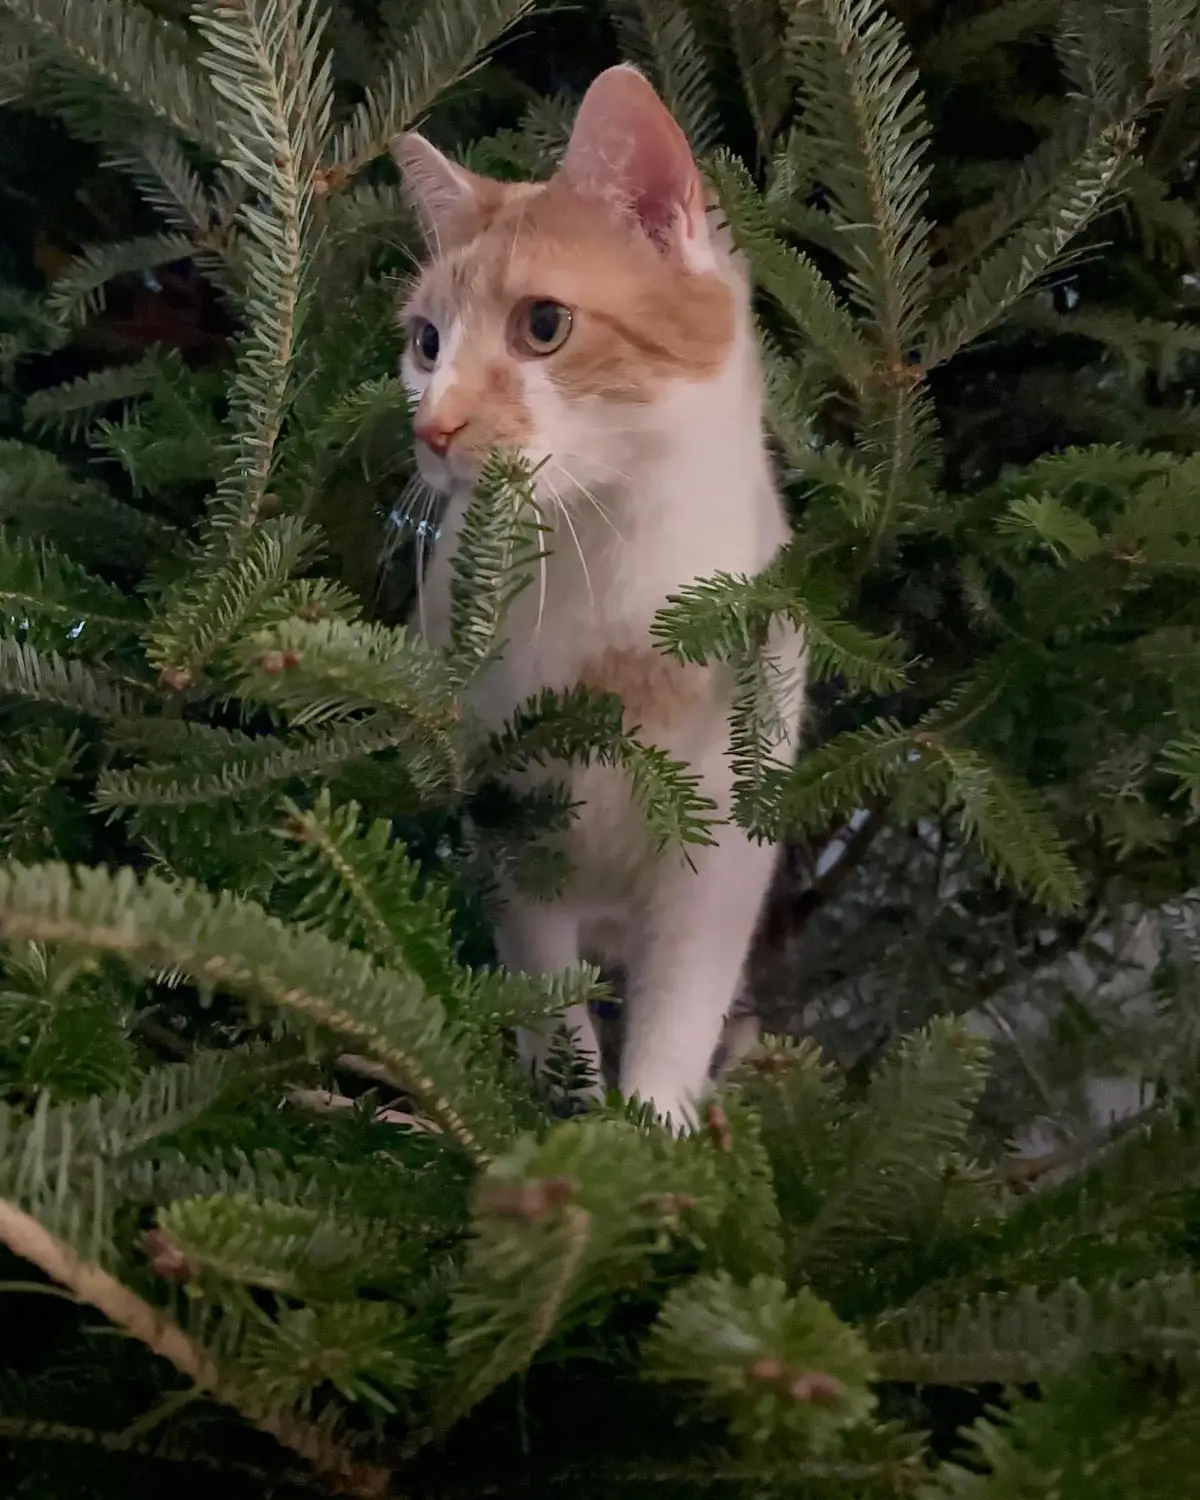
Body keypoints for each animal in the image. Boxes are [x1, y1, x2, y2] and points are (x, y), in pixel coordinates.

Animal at [393, 64, 804, 1128]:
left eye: (544, 325)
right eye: (426, 344)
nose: (434, 427)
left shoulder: (722, 861)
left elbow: (679, 1014)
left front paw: (655, 1129)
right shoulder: (511, 826)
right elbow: (548, 988)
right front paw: (571, 1114)